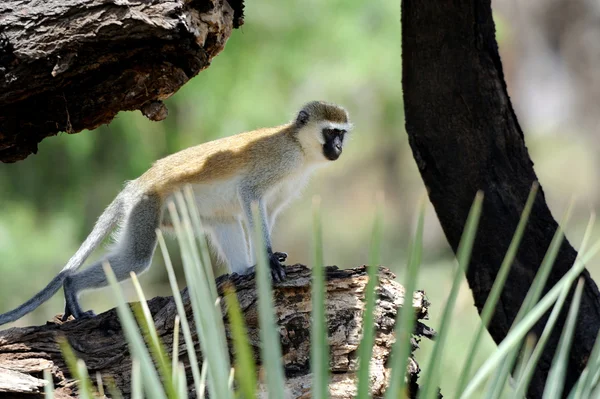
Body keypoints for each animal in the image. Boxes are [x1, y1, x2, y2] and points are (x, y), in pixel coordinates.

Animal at [0, 99, 354, 324]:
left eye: (342, 134)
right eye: (331, 132)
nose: (339, 148)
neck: (300, 147)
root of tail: (137, 184)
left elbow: (262, 211)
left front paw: (261, 263)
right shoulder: (279, 161)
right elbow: (251, 197)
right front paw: (268, 261)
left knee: (224, 221)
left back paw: (243, 271)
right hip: (146, 206)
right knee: (135, 260)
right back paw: (72, 285)